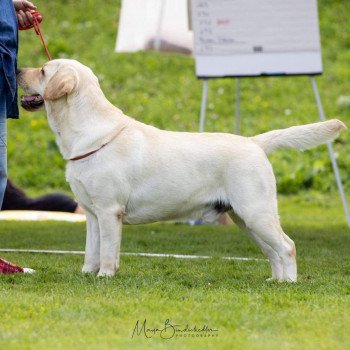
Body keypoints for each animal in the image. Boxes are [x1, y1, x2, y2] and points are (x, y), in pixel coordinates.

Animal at [17, 58, 344, 280]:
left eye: (43, 71)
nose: (18, 69)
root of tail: (254, 142)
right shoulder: (91, 213)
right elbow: (91, 249)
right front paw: (87, 274)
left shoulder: (110, 211)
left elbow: (108, 251)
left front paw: (105, 276)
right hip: (246, 219)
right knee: (271, 251)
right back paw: (275, 281)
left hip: (256, 212)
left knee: (287, 246)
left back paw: (289, 283)